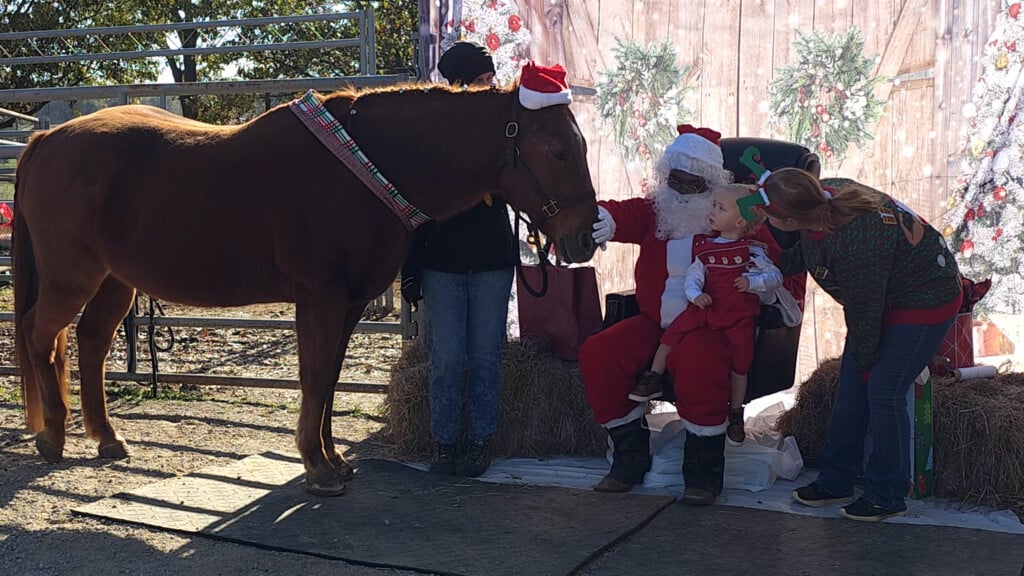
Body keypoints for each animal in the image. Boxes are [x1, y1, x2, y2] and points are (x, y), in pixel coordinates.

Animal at [14, 84, 598, 494]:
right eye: (557, 150)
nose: (585, 236)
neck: (366, 165)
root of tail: (45, 140)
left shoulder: (350, 303)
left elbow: (331, 379)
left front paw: (333, 458)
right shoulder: (321, 298)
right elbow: (315, 377)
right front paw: (317, 467)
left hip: (116, 282)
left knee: (89, 342)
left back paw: (105, 437)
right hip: (71, 278)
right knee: (41, 335)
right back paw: (52, 436)